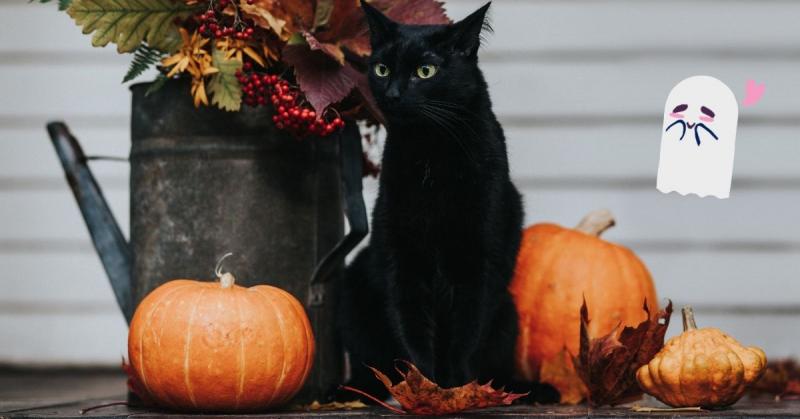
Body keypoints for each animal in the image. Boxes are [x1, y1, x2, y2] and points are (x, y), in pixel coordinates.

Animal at [336, 1, 524, 402]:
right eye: (382, 68)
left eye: (426, 71)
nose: (392, 94)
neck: (432, 155)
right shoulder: (401, 254)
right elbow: (411, 327)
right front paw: (423, 387)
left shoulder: (479, 258)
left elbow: (466, 330)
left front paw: (455, 390)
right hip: (354, 294)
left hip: (508, 314)